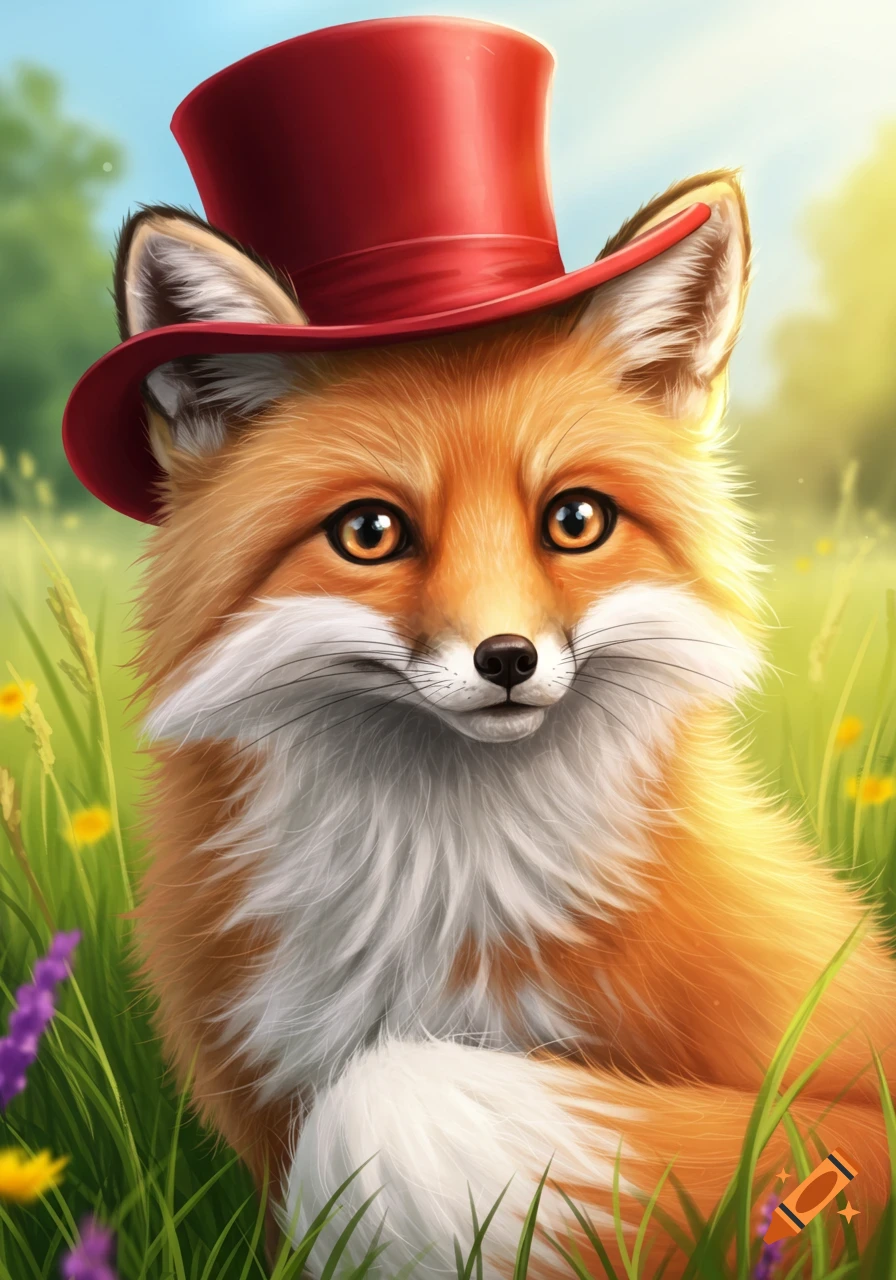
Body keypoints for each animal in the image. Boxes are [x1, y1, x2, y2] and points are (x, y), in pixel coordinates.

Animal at [118, 170, 896, 1279]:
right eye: (370, 532)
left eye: (574, 520)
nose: (507, 660)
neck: (434, 888)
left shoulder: (845, 1106)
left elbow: (380, 1096)